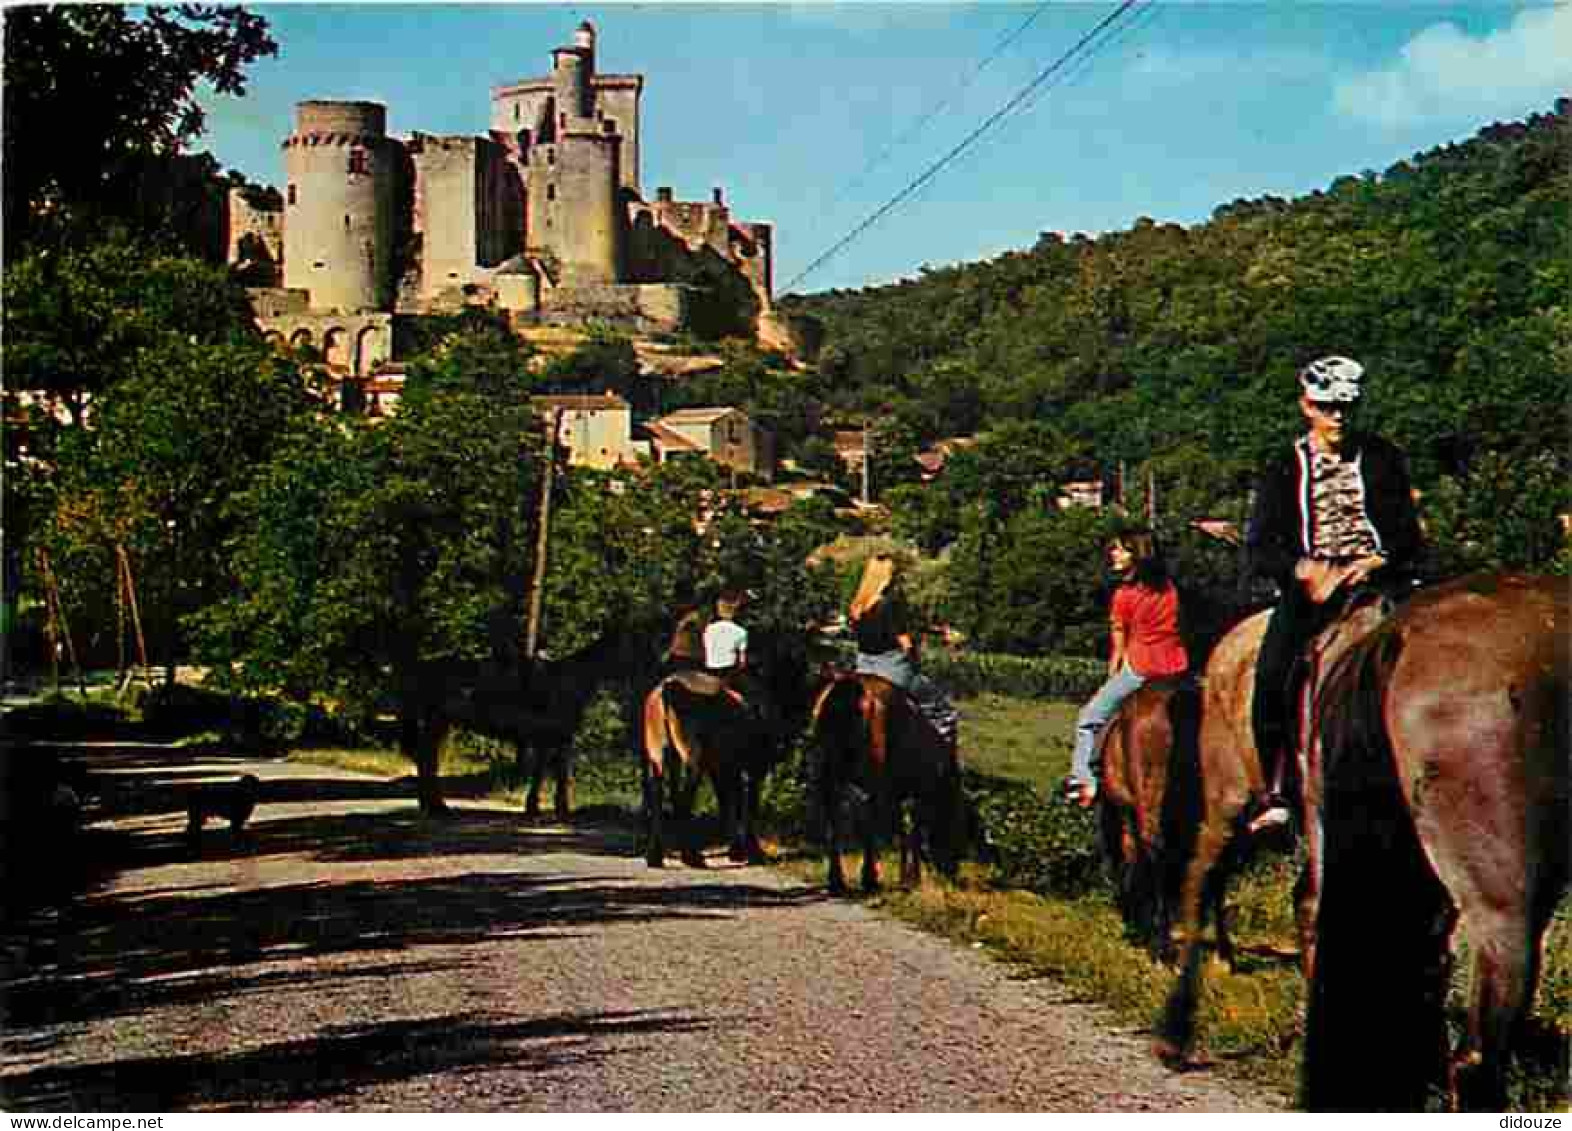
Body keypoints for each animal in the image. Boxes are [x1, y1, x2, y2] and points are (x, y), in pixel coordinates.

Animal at [811, 666, 968, 899]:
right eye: (958, 826)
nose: (952, 871)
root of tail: (847, 687)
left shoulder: (898, 793)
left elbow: (902, 831)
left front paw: (905, 877)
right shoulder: (917, 794)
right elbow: (913, 831)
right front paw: (913, 878)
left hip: (828, 770)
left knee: (834, 819)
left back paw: (837, 880)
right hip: (871, 772)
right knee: (867, 817)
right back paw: (869, 879)